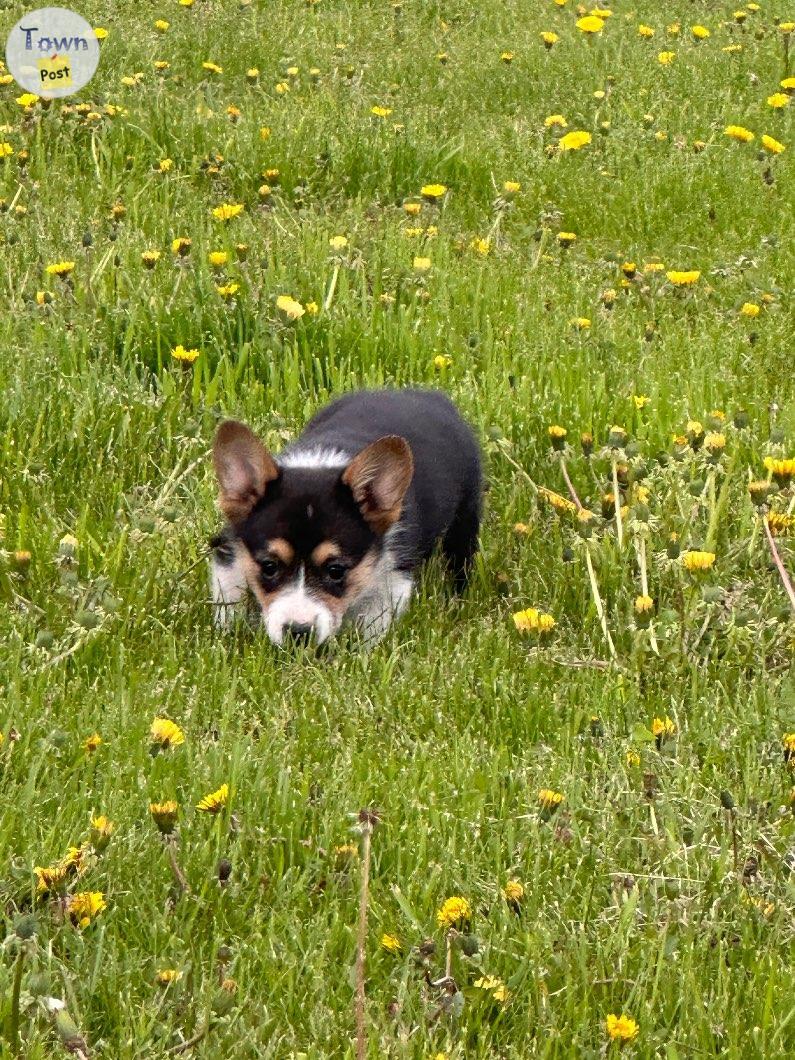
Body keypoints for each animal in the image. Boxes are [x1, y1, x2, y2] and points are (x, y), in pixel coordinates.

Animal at [208, 385, 483, 640]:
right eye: (269, 566)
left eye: (336, 571)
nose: (299, 633)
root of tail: (430, 395)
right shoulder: (230, 553)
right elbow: (229, 596)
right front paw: (228, 632)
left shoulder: (394, 577)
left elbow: (373, 628)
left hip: (466, 516)